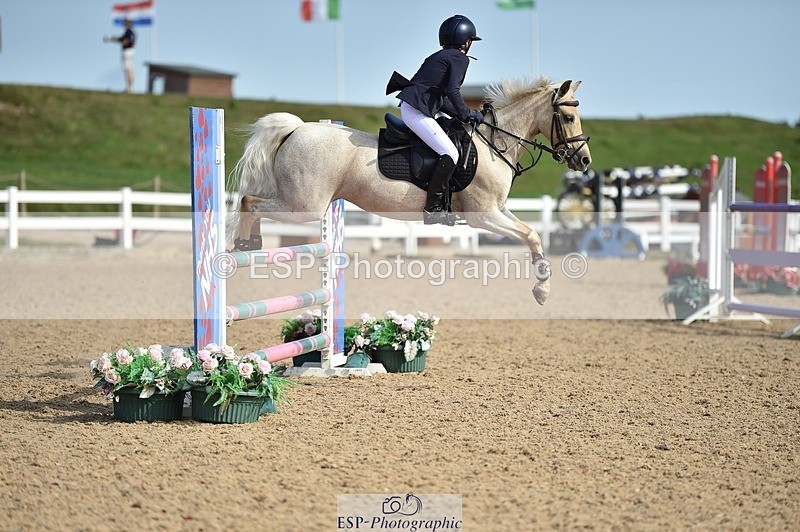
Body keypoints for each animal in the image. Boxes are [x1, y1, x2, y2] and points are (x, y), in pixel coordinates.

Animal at [227, 76, 592, 305]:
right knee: (250, 201)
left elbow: (534, 234)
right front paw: (542, 290)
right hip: (304, 206)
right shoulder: (483, 216)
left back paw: (251, 245)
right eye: (568, 117)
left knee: (252, 204)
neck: (493, 144)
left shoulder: (498, 211)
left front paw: (543, 287)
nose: (584, 160)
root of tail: (297, 129)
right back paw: (243, 246)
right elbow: (529, 234)